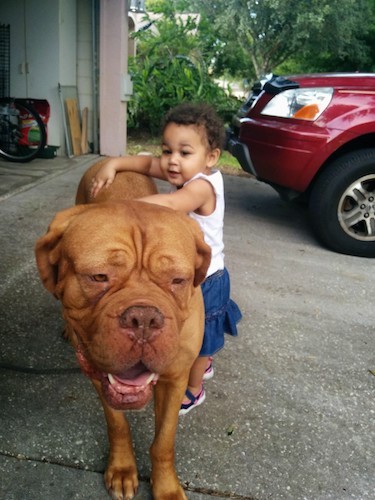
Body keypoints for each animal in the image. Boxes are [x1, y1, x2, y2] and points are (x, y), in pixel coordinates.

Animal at [35, 161, 212, 500]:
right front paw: (121, 469)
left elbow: (164, 441)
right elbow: (117, 424)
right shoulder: (97, 372)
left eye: (177, 280)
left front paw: (166, 487)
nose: (143, 319)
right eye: (99, 276)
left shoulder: (176, 377)